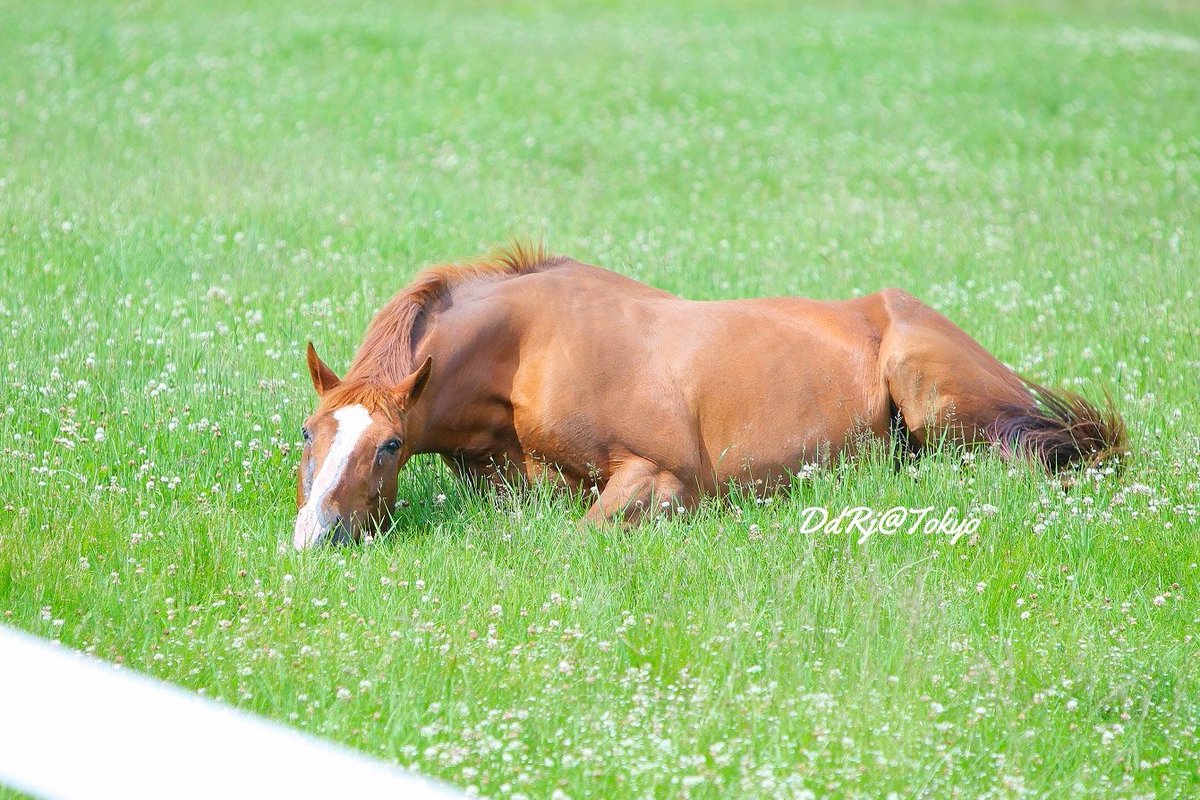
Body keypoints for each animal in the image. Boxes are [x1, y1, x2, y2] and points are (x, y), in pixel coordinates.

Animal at [292, 244, 1126, 549]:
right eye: (308, 434)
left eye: (390, 444)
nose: (312, 538)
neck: (529, 353)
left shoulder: (663, 475)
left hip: (939, 398)